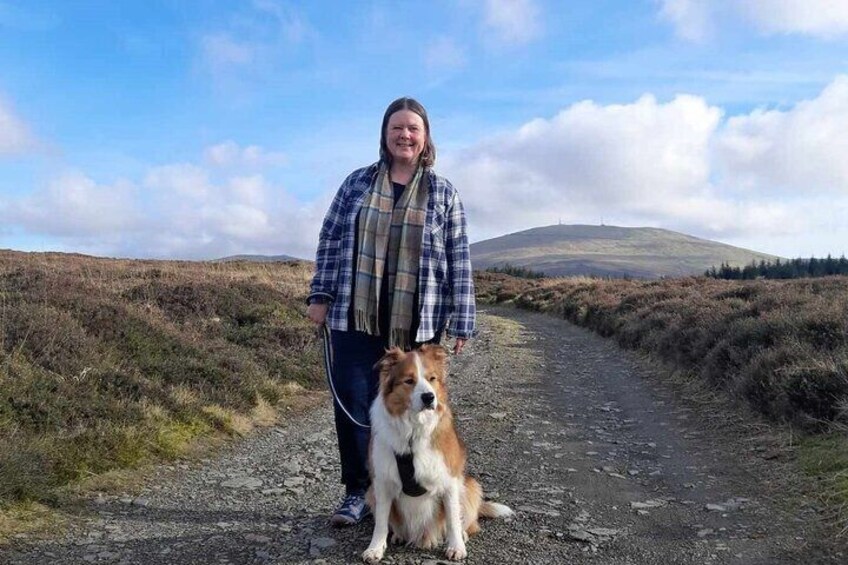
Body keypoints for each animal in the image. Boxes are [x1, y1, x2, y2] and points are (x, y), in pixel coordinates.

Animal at [362, 344, 512, 560]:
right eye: (409, 381)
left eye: (432, 378)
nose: (429, 397)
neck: (413, 431)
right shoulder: (382, 482)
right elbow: (381, 521)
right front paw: (375, 548)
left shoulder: (449, 481)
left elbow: (452, 519)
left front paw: (456, 546)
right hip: (370, 492)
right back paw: (399, 535)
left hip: (470, 485)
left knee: (467, 523)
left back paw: (463, 535)